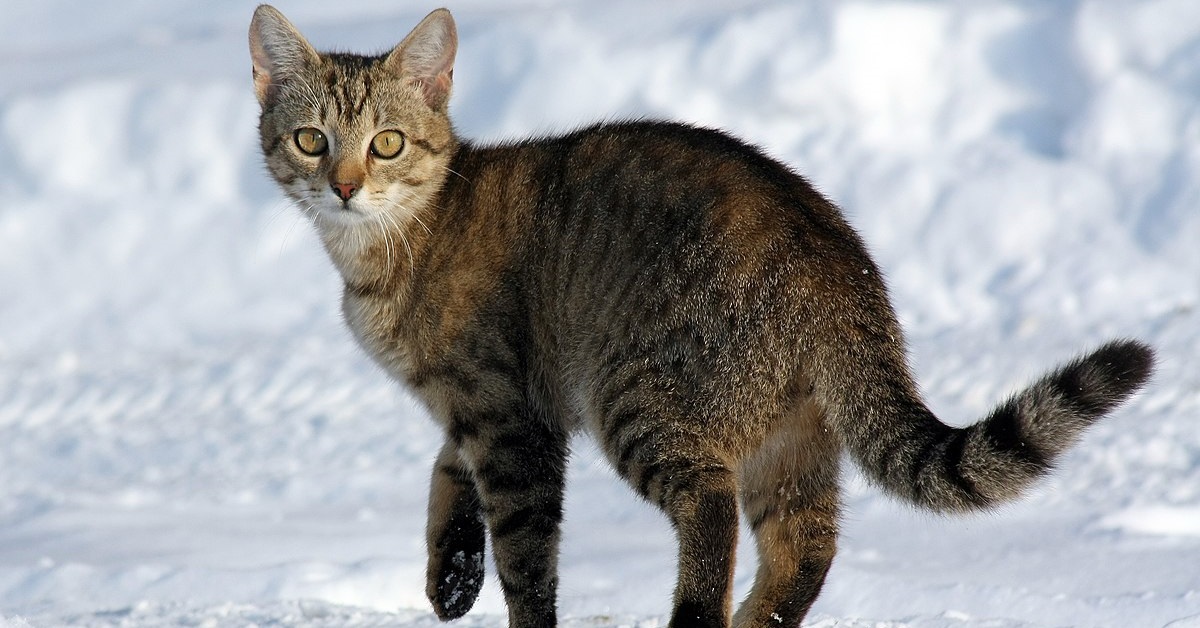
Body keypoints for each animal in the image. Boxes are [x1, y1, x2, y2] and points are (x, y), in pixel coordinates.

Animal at [246, 6, 1152, 628]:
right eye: (310, 139)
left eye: (388, 143)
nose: (344, 186)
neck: (397, 243)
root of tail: (837, 265)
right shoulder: (485, 411)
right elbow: (447, 473)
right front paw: (450, 574)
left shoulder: (511, 418)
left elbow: (527, 559)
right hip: (791, 439)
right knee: (804, 547)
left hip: (643, 399)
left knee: (711, 513)